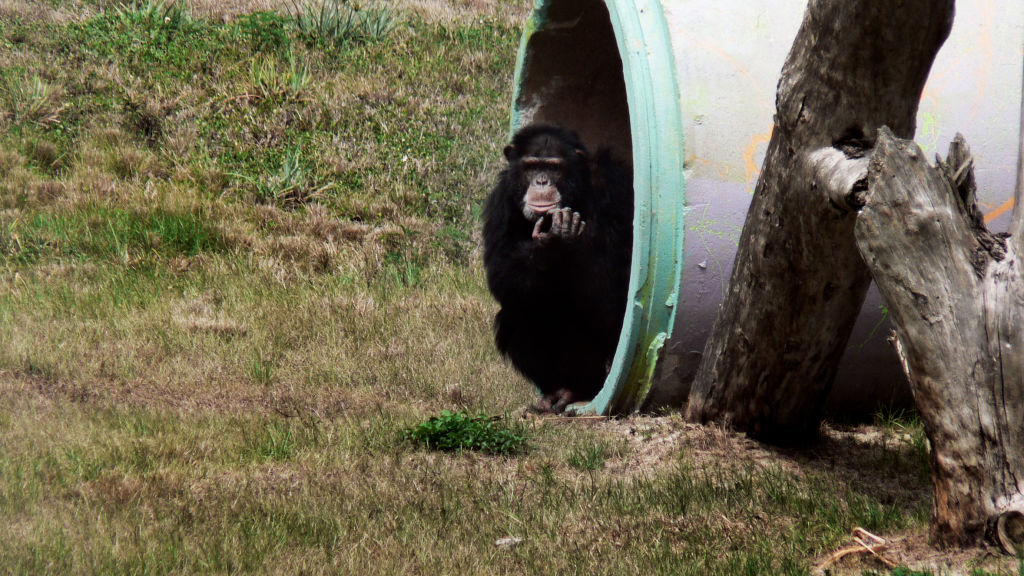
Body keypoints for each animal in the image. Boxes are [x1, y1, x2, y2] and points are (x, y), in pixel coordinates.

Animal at [479, 123, 630, 409]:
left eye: (554, 167)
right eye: (531, 166)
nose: (541, 181)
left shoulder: (614, 187)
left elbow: (617, 280)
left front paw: (566, 241)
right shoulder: (501, 199)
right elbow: (500, 271)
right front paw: (548, 246)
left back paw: (577, 391)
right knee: (517, 311)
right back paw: (557, 392)